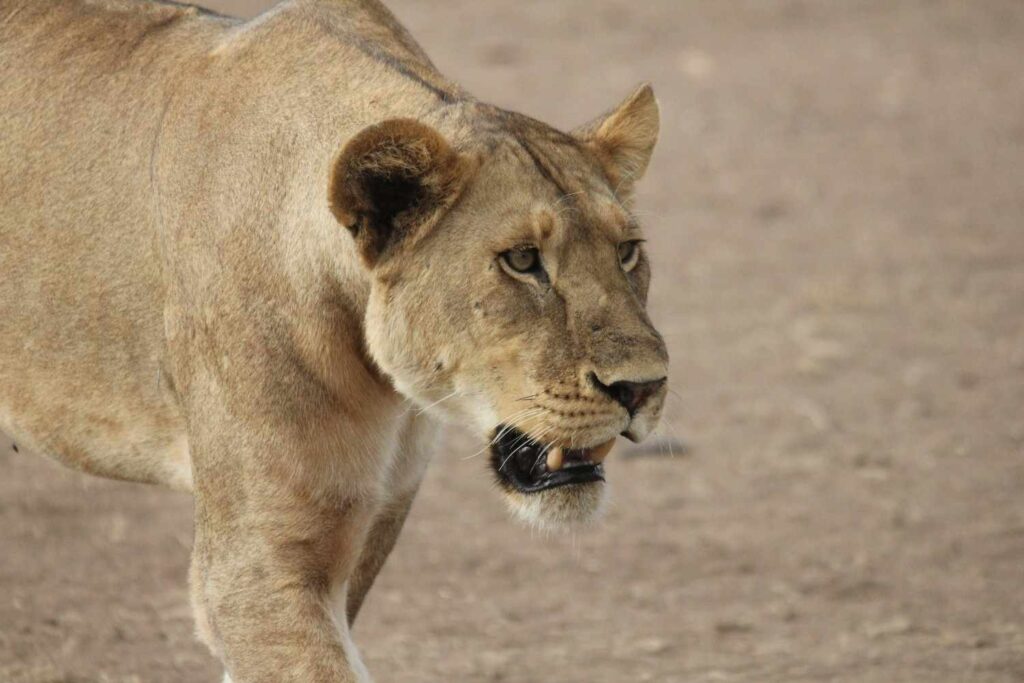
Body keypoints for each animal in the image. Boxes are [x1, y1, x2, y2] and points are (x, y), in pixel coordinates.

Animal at [0, 0, 668, 680]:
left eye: (627, 251)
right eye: (523, 260)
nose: (643, 389)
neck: (386, 388)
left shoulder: (372, 524)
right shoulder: (259, 565)